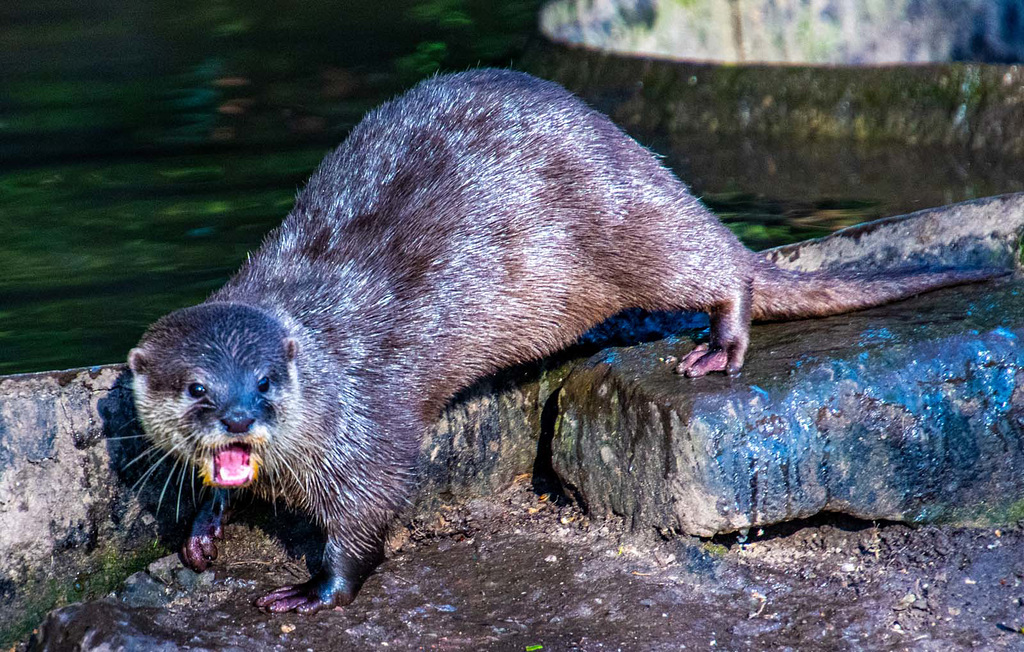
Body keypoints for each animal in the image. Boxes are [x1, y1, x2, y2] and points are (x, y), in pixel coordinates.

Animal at [128, 68, 999, 614]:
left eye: (266, 382)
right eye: (198, 388)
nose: (240, 417)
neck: (322, 356)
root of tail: (638, 159)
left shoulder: (366, 420)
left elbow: (369, 509)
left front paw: (315, 591)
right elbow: (216, 487)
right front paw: (203, 528)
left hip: (632, 231)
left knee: (723, 270)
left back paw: (719, 341)